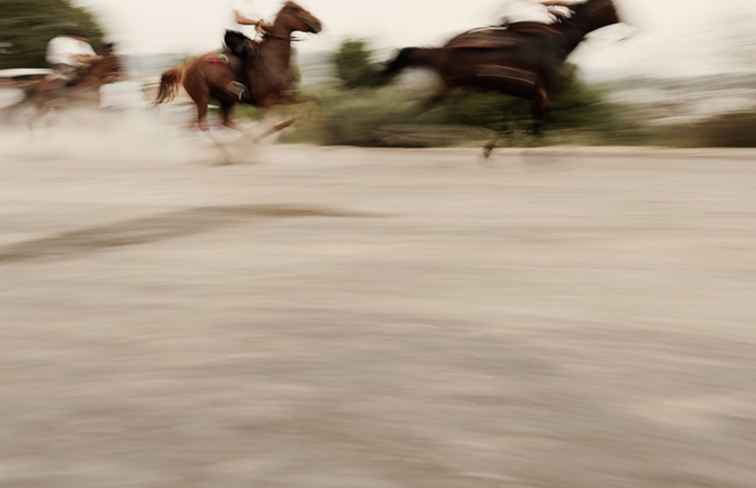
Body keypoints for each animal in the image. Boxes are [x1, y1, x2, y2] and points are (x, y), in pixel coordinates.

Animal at [157, 1, 322, 137]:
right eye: (296, 10)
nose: (318, 24)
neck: (273, 58)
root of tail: (185, 67)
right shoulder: (267, 101)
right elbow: (276, 124)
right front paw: (266, 134)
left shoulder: (287, 96)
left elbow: (312, 101)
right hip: (202, 98)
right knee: (202, 125)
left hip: (225, 101)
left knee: (224, 123)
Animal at [380, 0, 624, 156]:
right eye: (612, 7)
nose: (624, 21)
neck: (559, 40)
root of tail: (445, 49)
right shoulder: (539, 89)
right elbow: (536, 119)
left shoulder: (527, 90)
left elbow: (519, 118)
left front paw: (493, 146)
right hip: (453, 85)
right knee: (425, 106)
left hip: (456, 86)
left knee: (428, 105)